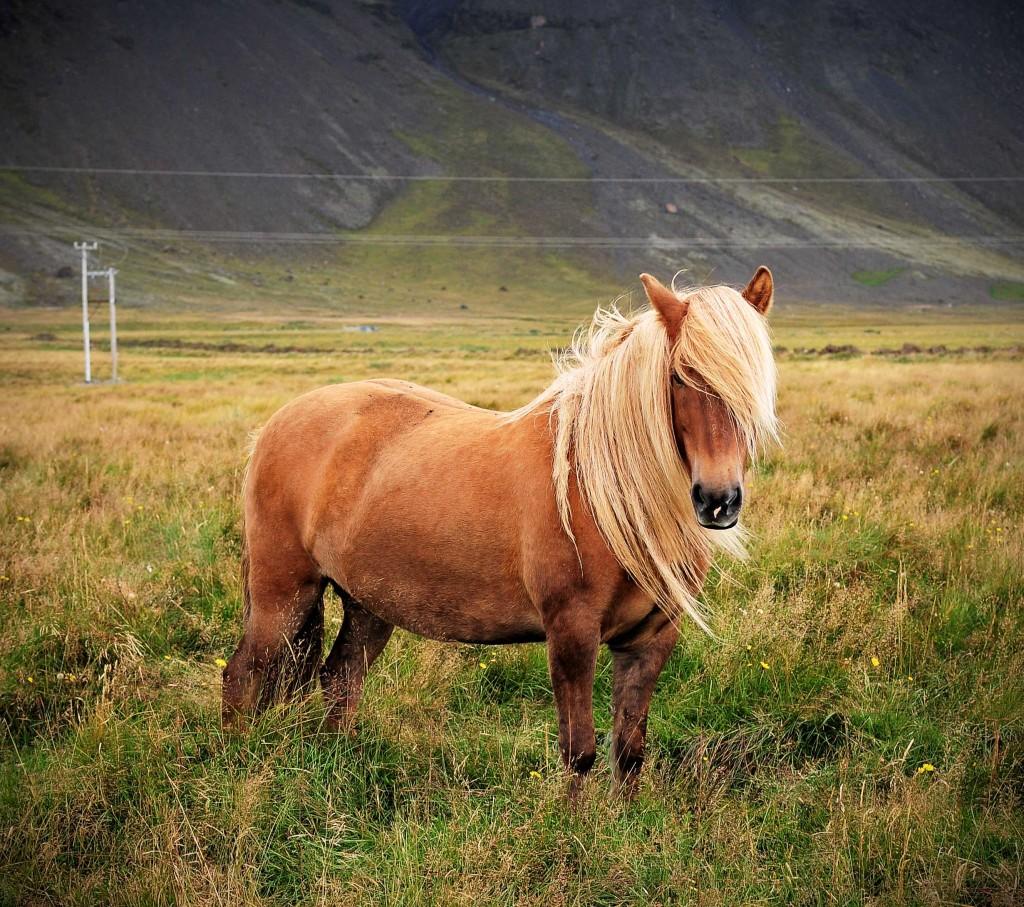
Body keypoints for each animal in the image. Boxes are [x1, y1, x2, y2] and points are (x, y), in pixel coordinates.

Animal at [222, 267, 779, 791]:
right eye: (681, 377)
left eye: (758, 381)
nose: (717, 500)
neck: (610, 492)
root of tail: (278, 422)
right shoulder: (571, 633)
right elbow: (580, 753)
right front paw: (573, 830)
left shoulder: (651, 640)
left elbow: (629, 752)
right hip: (283, 594)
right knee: (243, 674)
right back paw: (237, 764)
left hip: (368, 604)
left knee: (341, 678)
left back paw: (341, 768)